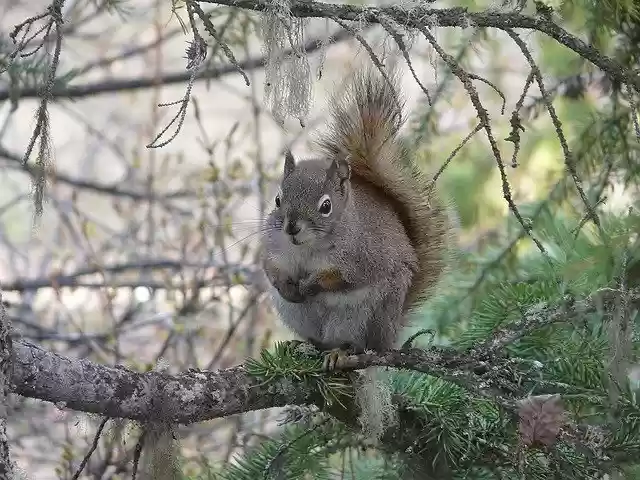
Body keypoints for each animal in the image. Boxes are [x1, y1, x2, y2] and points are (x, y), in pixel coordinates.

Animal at [260, 67, 449, 370]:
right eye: (278, 200)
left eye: (326, 206)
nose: (291, 228)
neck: (309, 249)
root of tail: (391, 334)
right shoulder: (274, 246)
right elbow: (271, 267)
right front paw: (285, 285)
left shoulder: (366, 256)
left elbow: (346, 277)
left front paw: (312, 284)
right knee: (316, 340)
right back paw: (298, 345)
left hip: (368, 316)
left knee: (359, 346)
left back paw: (341, 352)